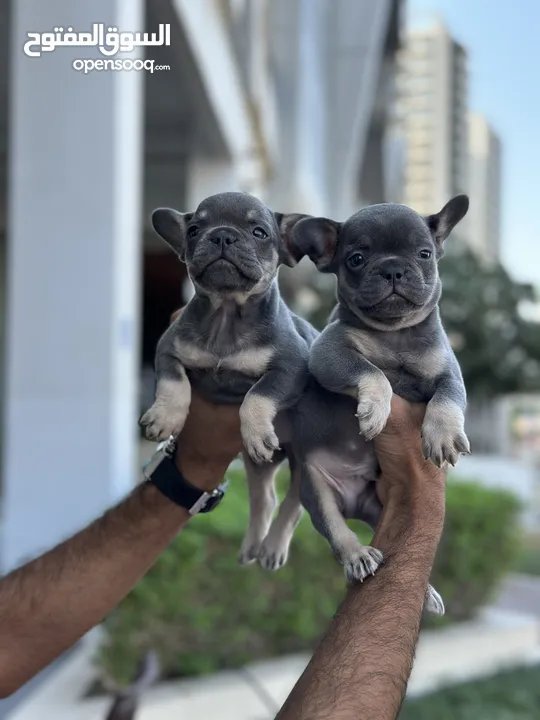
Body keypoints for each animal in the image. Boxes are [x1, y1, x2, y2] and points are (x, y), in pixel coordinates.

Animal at [140, 193, 316, 572]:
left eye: (259, 232)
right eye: (193, 229)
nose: (222, 235)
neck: (226, 314)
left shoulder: (292, 367)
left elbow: (257, 395)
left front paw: (255, 427)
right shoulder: (168, 349)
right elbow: (173, 383)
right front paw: (165, 418)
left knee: (293, 504)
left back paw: (273, 547)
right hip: (257, 466)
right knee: (264, 497)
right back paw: (253, 545)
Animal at [286, 195, 468, 612]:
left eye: (424, 254)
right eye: (356, 259)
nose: (393, 269)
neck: (394, 334)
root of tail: (354, 503)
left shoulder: (449, 370)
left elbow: (449, 398)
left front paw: (442, 434)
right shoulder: (331, 353)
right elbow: (373, 373)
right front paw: (375, 409)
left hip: (379, 505)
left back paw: (427, 591)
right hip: (317, 491)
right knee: (338, 533)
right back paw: (357, 556)